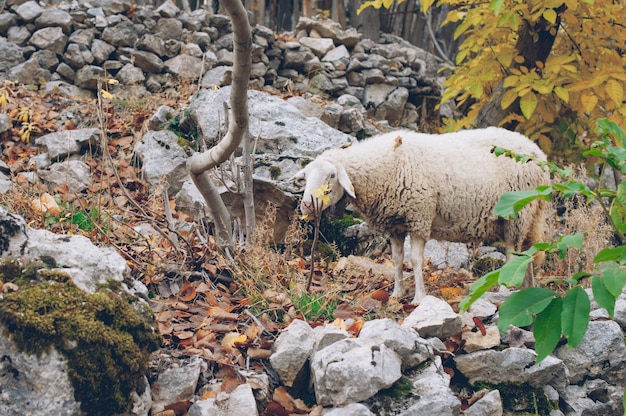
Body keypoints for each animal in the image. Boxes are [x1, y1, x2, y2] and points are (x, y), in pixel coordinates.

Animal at [294, 125, 544, 304]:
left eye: (332, 175)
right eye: (305, 176)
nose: (306, 206)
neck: (386, 167)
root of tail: (538, 152)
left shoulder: (419, 218)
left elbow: (414, 260)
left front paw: (419, 297)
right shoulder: (395, 224)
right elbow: (397, 259)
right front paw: (397, 293)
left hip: (517, 216)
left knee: (512, 253)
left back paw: (504, 289)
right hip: (526, 219)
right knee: (527, 255)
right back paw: (526, 289)